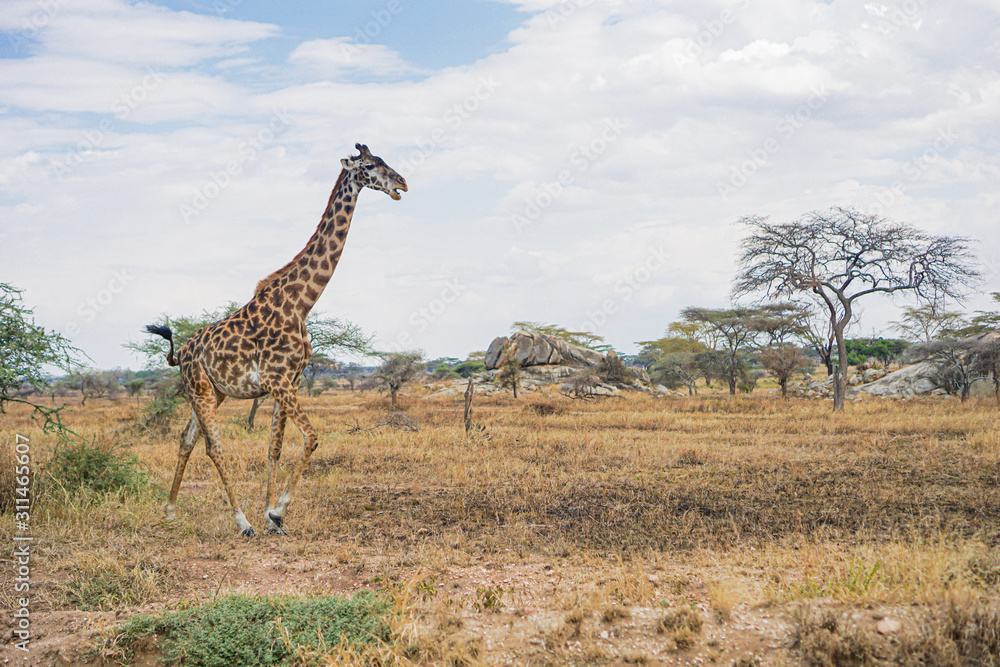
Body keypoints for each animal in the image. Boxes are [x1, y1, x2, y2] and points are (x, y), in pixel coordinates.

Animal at [146, 143, 406, 536]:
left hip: (212, 391)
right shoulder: (277, 380)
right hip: (201, 390)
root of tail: (183, 352)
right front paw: (277, 511)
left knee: (186, 439)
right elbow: (311, 437)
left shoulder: (290, 381)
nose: (402, 184)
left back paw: (171, 510)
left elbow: (275, 447)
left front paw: (271, 514)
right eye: (372, 165)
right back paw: (241, 521)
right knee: (213, 447)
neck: (301, 303)